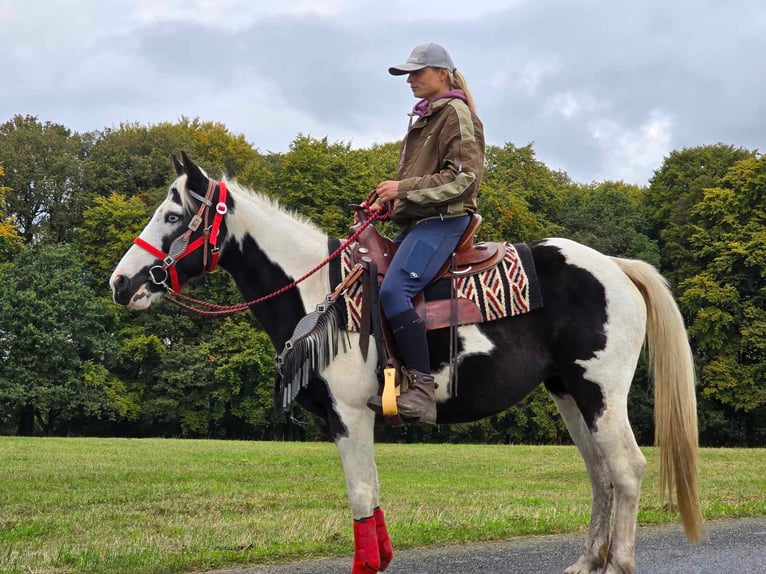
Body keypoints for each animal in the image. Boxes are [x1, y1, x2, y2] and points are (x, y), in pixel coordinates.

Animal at [109, 155, 708, 574]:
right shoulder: (354, 418)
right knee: (600, 475)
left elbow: (360, 494)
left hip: (600, 393)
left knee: (626, 470)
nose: (120, 283)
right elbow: (371, 496)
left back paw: (619, 562)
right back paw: (587, 560)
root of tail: (615, 266)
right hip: (568, 394)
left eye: (172, 215)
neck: (322, 293)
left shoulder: (349, 414)